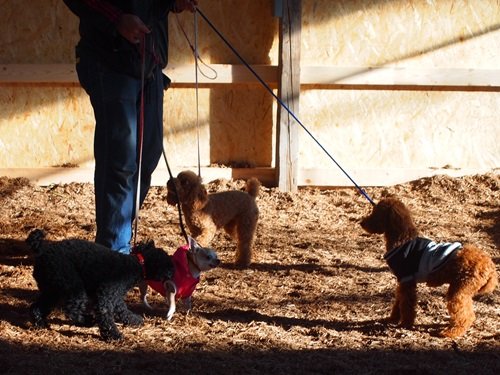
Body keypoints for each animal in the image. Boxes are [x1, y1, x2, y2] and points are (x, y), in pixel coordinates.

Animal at [26, 231, 174, 342]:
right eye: (168, 263)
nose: (173, 272)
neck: (137, 264)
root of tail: (41, 251)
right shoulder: (105, 297)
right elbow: (106, 317)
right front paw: (114, 336)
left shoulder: (116, 297)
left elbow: (123, 311)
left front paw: (134, 320)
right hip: (73, 286)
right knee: (72, 310)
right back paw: (87, 321)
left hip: (51, 290)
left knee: (37, 307)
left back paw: (40, 323)